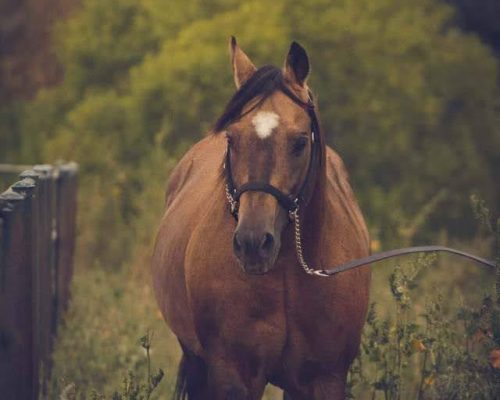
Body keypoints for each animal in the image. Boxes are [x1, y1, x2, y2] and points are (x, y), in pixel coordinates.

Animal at [152, 38, 372, 400]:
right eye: (231, 139)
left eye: (299, 142)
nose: (253, 244)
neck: (286, 275)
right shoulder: (233, 377)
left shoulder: (323, 379)